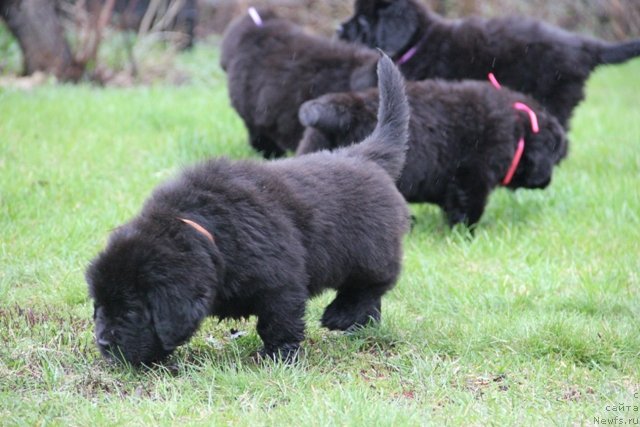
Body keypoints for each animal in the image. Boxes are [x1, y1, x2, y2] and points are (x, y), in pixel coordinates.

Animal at [85, 54, 410, 368]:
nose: (103, 343)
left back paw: (342, 315)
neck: (209, 232)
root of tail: (364, 155)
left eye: (131, 310)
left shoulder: (281, 284)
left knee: (371, 285)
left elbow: (279, 321)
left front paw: (279, 356)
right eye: (99, 306)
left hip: (371, 252)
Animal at [298, 79, 568, 229]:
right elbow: (468, 209)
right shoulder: (472, 178)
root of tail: (342, 107)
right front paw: (466, 234)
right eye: (554, 159)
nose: (547, 183)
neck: (517, 130)